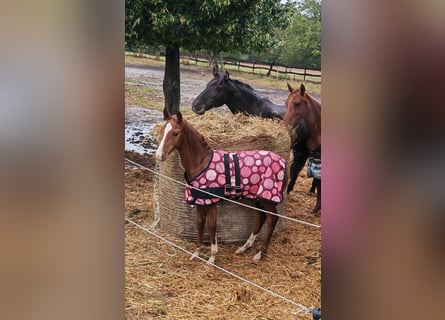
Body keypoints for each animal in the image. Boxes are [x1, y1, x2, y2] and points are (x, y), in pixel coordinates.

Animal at [154, 109, 286, 264]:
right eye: (162, 131)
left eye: (175, 133)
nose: (159, 155)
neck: (201, 162)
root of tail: (282, 161)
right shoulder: (201, 201)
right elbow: (200, 223)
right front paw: (197, 252)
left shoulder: (211, 202)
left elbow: (212, 226)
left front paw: (212, 258)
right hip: (257, 198)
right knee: (261, 217)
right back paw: (244, 247)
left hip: (267, 198)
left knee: (272, 219)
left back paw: (260, 254)